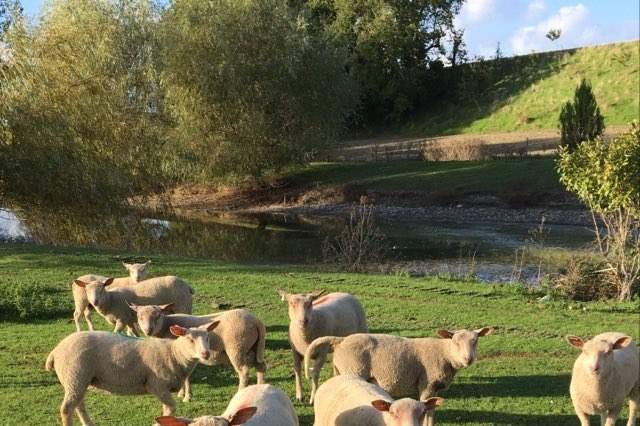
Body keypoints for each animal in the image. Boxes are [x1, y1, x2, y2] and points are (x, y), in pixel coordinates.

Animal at [45, 323, 217, 426]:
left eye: (208, 337)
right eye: (190, 339)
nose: (206, 354)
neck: (175, 353)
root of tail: (55, 351)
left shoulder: (163, 389)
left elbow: (166, 408)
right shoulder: (157, 385)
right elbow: (171, 408)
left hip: (79, 380)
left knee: (79, 405)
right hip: (75, 376)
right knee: (67, 409)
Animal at [131, 304, 267, 401]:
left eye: (158, 315)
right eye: (139, 317)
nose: (148, 330)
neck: (165, 327)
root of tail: (256, 321)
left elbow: (186, 377)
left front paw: (187, 396)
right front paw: (182, 394)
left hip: (237, 347)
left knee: (243, 371)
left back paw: (240, 392)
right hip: (254, 347)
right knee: (261, 366)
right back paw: (260, 389)